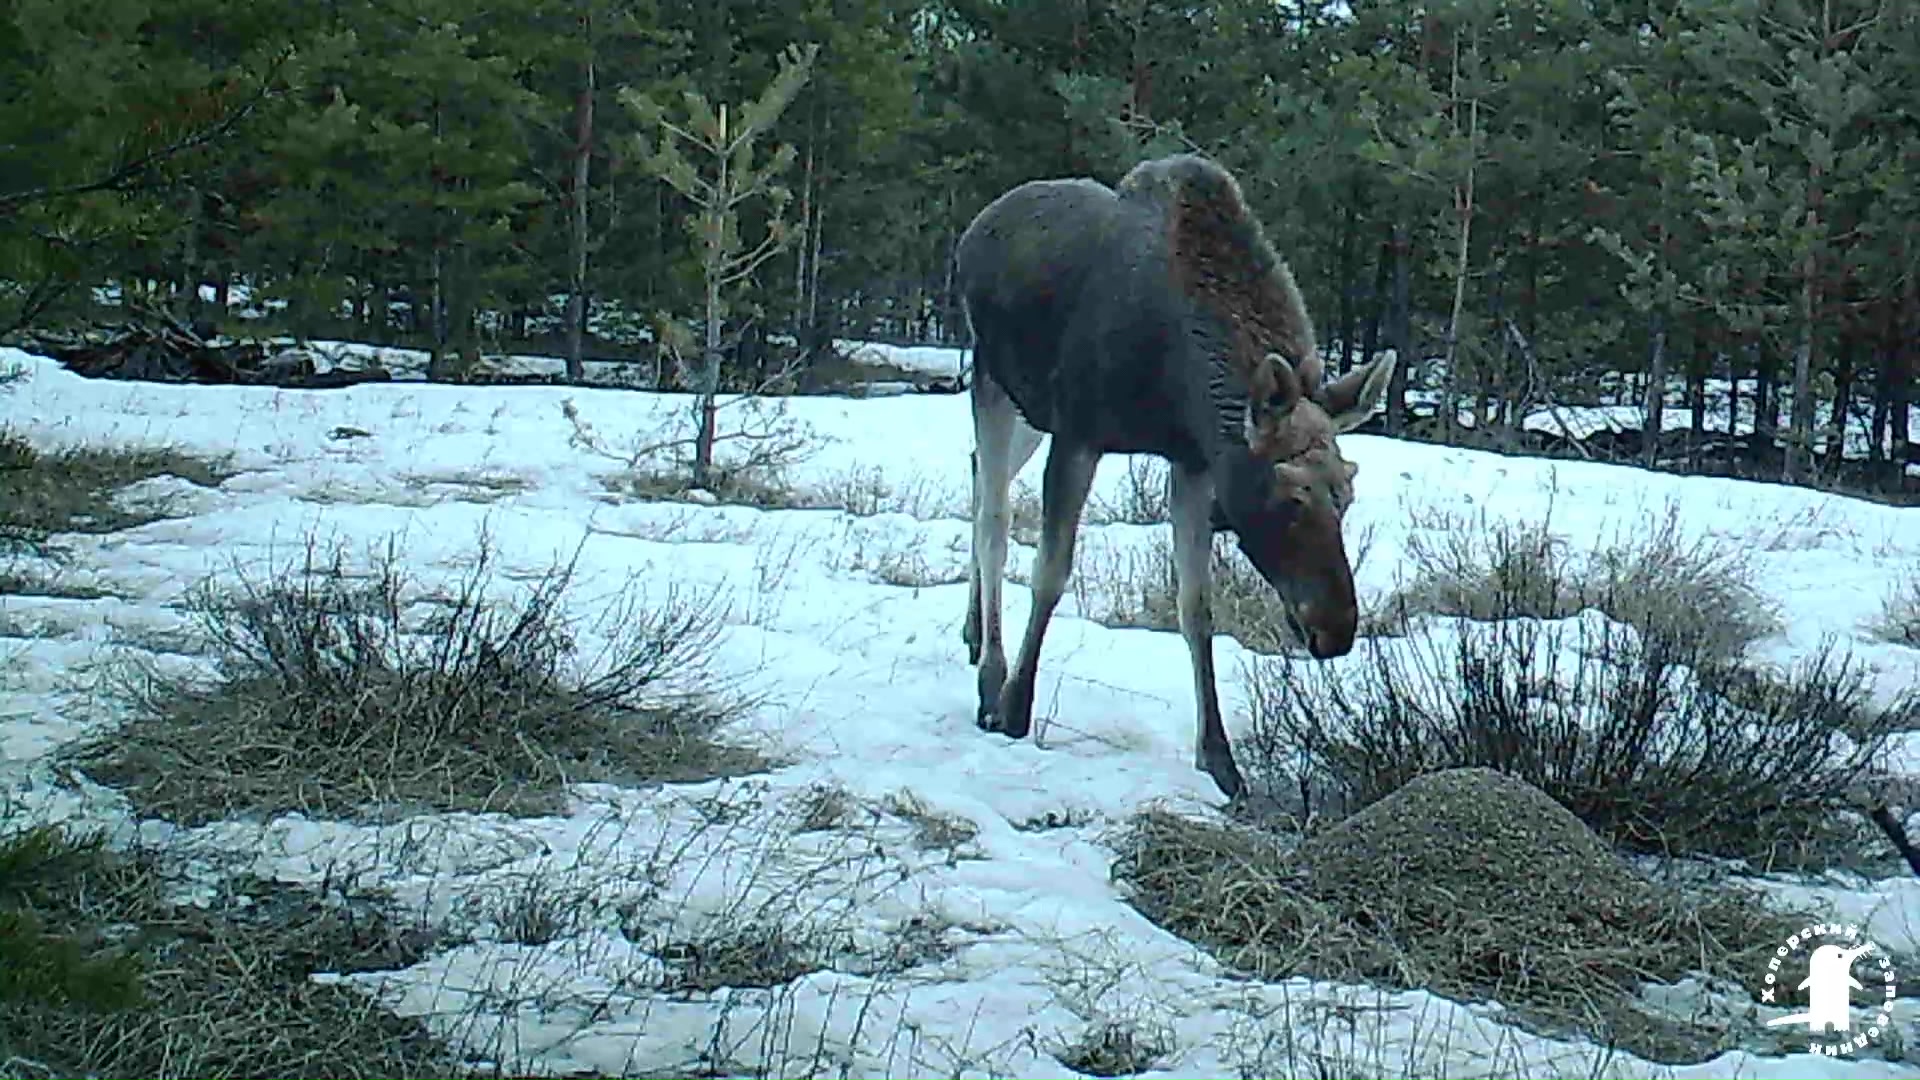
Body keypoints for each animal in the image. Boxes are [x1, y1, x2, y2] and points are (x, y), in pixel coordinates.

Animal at [960, 151, 1397, 795]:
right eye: (1289, 496)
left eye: (1347, 492)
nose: (1336, 629)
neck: (1177, 383)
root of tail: (978, 225)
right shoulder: (1079, 433)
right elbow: (1050, 573)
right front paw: (1017, 705)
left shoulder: (1192, 462)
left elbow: (1197, 608)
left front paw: (1219, 758)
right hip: (992, 379)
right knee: (993, 515)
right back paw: (991, 677)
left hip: (1027, 408)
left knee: (975, 475)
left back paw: (971, 633)